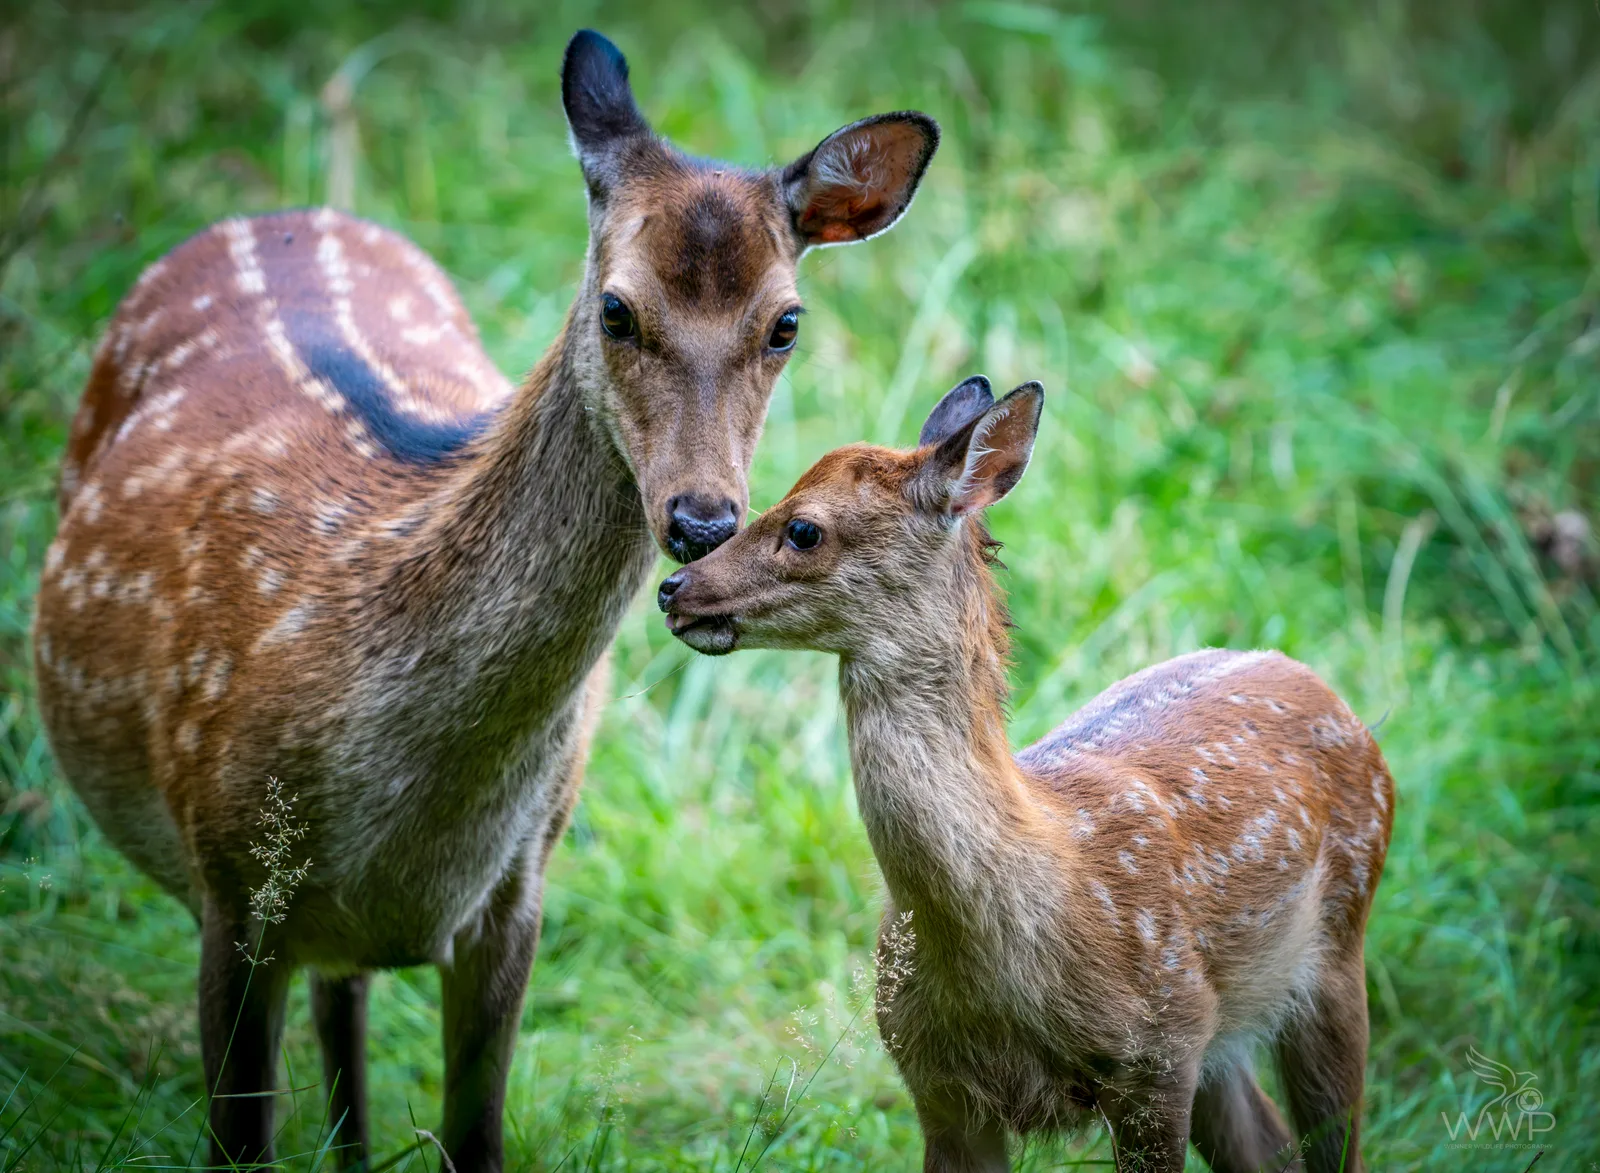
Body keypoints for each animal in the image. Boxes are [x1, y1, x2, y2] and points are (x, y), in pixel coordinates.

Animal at [30, 29, 939, 1170]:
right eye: (615, 309)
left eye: (785, 323)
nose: (701, 518)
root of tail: (279, 211)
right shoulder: (231, 879)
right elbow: (240, 1136)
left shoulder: (518, 890)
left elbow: (475, 1131)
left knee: (344, 1001)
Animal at [657, 376, 1395, 1172]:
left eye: (803, 529)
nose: (674, 588)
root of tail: (1323, 687)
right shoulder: (936, 1082)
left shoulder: (1158, 1054)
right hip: (1222, 1036)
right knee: (1267, 1144)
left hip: (1332, 954)